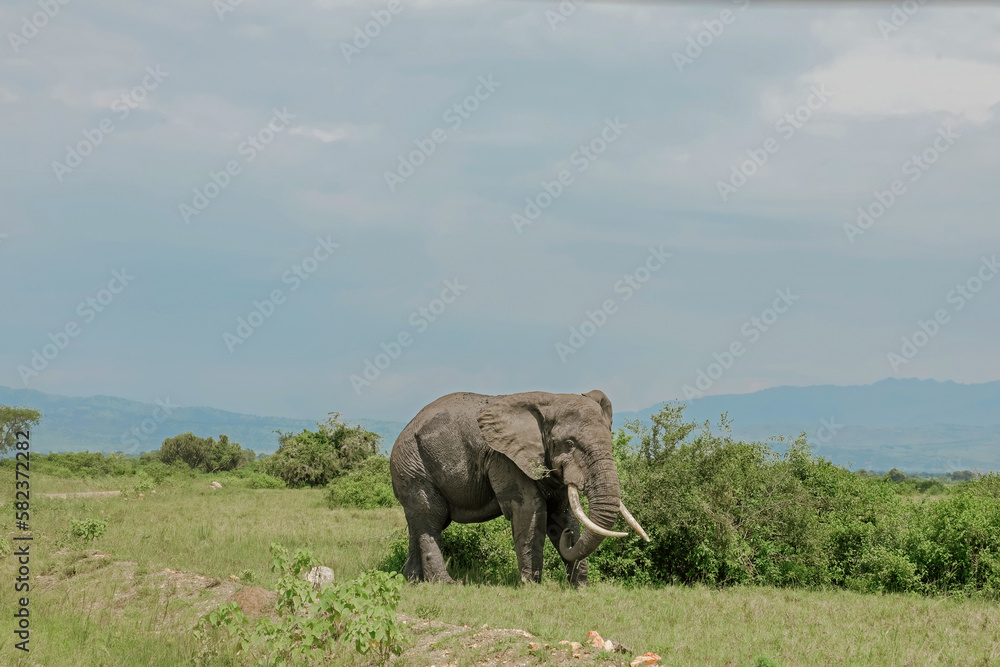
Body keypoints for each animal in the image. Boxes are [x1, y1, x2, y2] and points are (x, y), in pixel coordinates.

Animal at [389, 390, 649, 585]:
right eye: (569, 443)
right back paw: (446, 584)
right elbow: (531, 511)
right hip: (413, 466)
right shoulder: (504, 458)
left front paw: (581, 587)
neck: (550, 401)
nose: (568, 537)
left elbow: (561, 513)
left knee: (420, 523)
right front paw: (532, 586)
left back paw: (411, 580)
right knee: (431, 518)